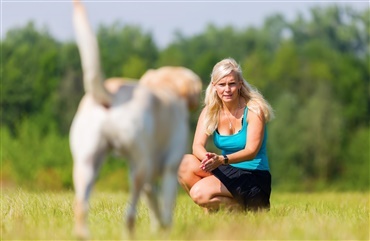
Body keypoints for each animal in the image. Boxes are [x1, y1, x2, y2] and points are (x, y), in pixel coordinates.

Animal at [69, 0, 202, 239]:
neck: (165, 87)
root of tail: (111, 94)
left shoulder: (151, 182)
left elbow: (154, 205)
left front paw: (158, 228)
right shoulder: (170, 167)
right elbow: (167, 205)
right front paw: (166, 230)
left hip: (86, 165)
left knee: (81, 206)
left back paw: (83, 234)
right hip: (139, 166)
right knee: (129, 213)